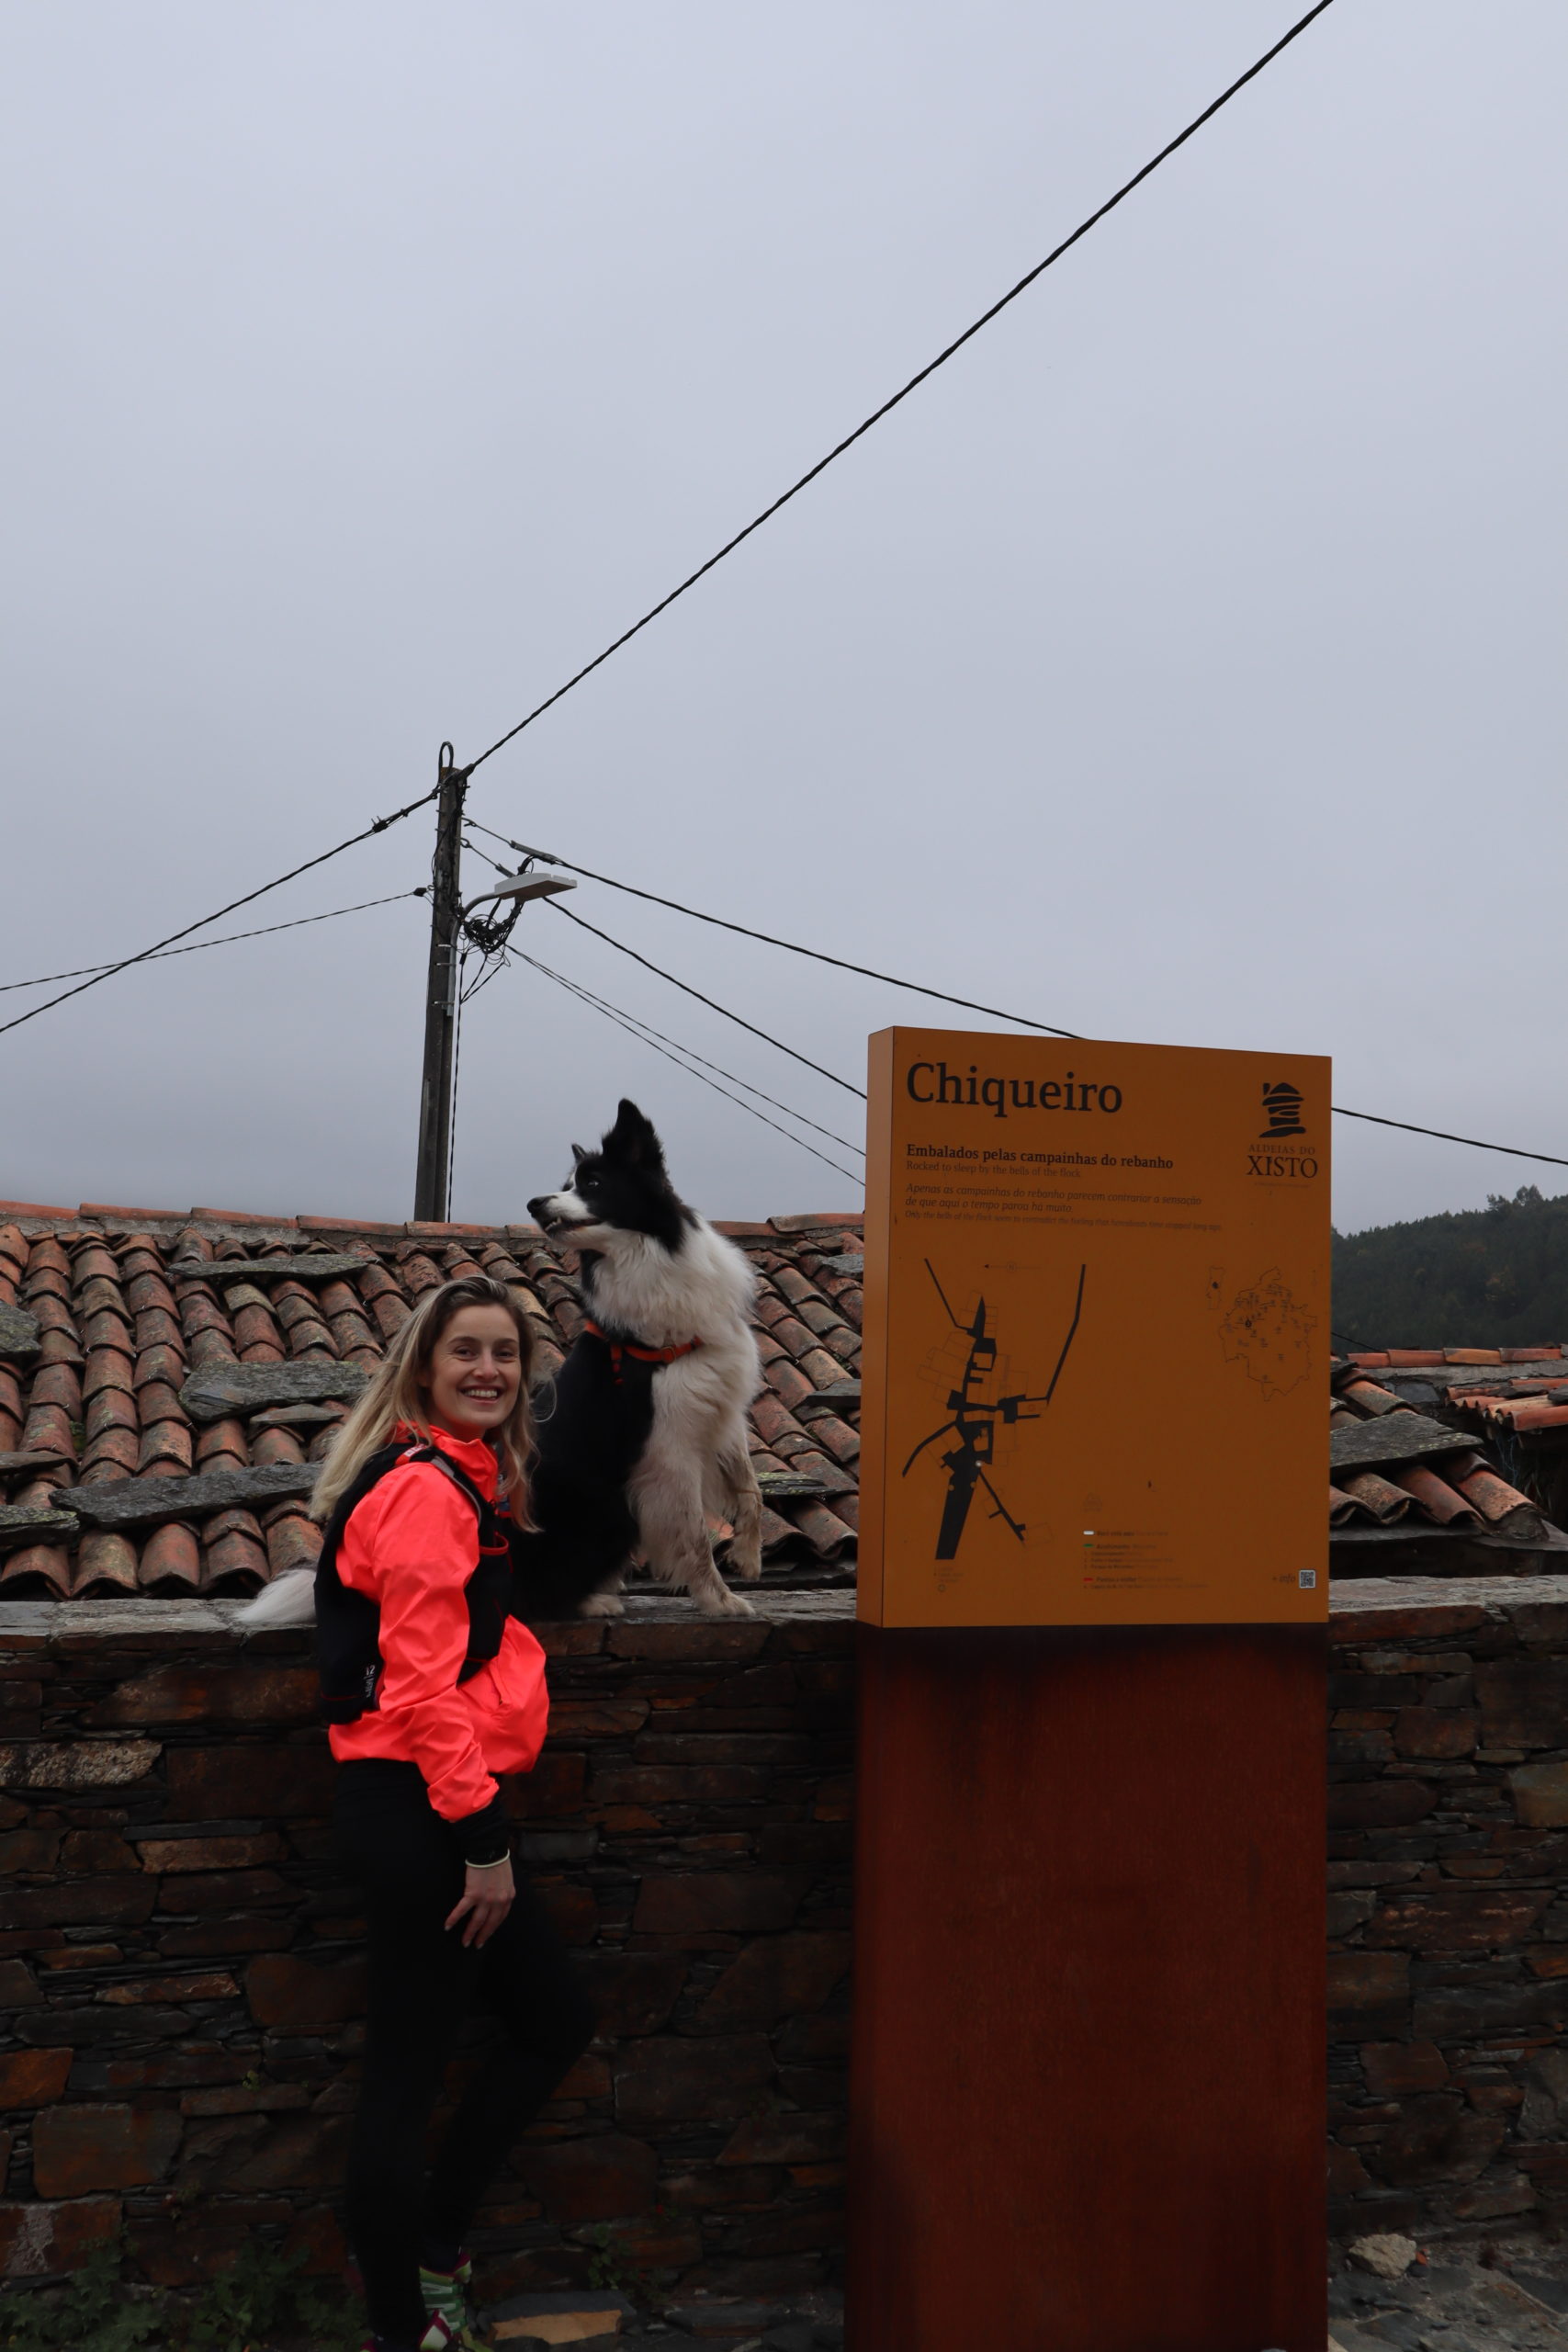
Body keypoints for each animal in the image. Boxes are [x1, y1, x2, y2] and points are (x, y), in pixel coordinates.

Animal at [522, 1095, 766, 1618]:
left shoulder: (721, 1403)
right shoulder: (669, 1444)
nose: (533, 1204)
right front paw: (720, 1600)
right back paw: (595, 1601)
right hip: (603, 1506)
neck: (646, 1256)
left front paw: (748, 1556)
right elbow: (694, 1533)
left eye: (592, 1184)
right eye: (565, 1186)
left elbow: (750, 1488)